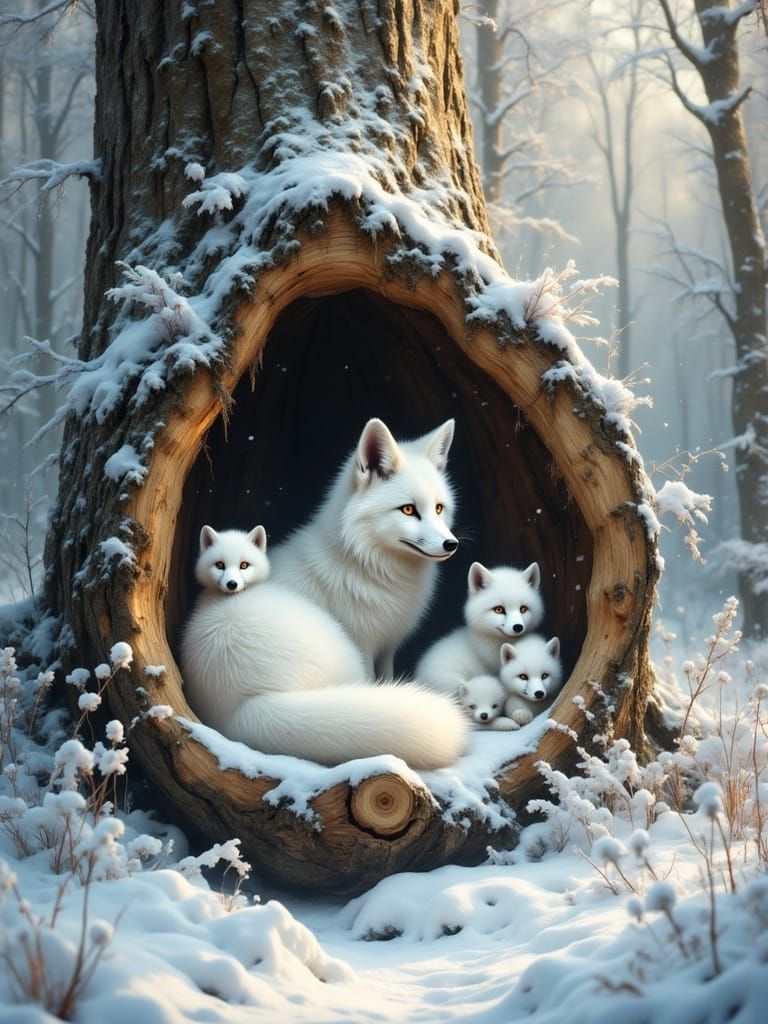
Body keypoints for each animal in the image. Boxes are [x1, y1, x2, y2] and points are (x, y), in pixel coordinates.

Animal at [269, 417, 458, 679]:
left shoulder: (388, 646)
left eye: (439, 508)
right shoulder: (363, 646)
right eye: (408, 510)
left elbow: (389, 678)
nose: (451, 544)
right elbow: (371, 683)